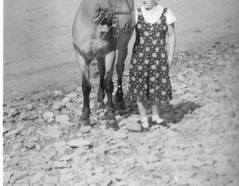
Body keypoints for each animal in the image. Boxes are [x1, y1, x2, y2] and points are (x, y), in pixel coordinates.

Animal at [72, 0, 134, 128]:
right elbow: (86, 86)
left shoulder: (110, 53)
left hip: (123, 46)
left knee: (119, 68)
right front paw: (84, 117)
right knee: (101, 70)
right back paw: (99, 100)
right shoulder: (81, 57)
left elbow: (108, 84)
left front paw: (111, 117)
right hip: (99, 56)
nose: (127, 22)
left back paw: (119, 100)